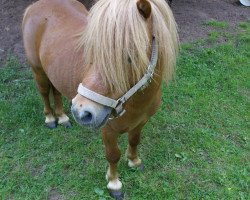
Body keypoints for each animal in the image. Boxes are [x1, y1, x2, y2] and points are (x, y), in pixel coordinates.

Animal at [22, 0, 178, 198]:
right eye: (91, 52)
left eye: (130, 56)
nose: (81, 111)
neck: (136, 103)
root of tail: (35, 5)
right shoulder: (108, 130)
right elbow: (113, 155)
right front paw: (114, 183)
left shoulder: (141, 122)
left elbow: (134, 140)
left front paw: (134, 161)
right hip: (38, 70)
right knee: (44, 93)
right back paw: (50, 118)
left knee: (56, 92)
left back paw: (63, 117)